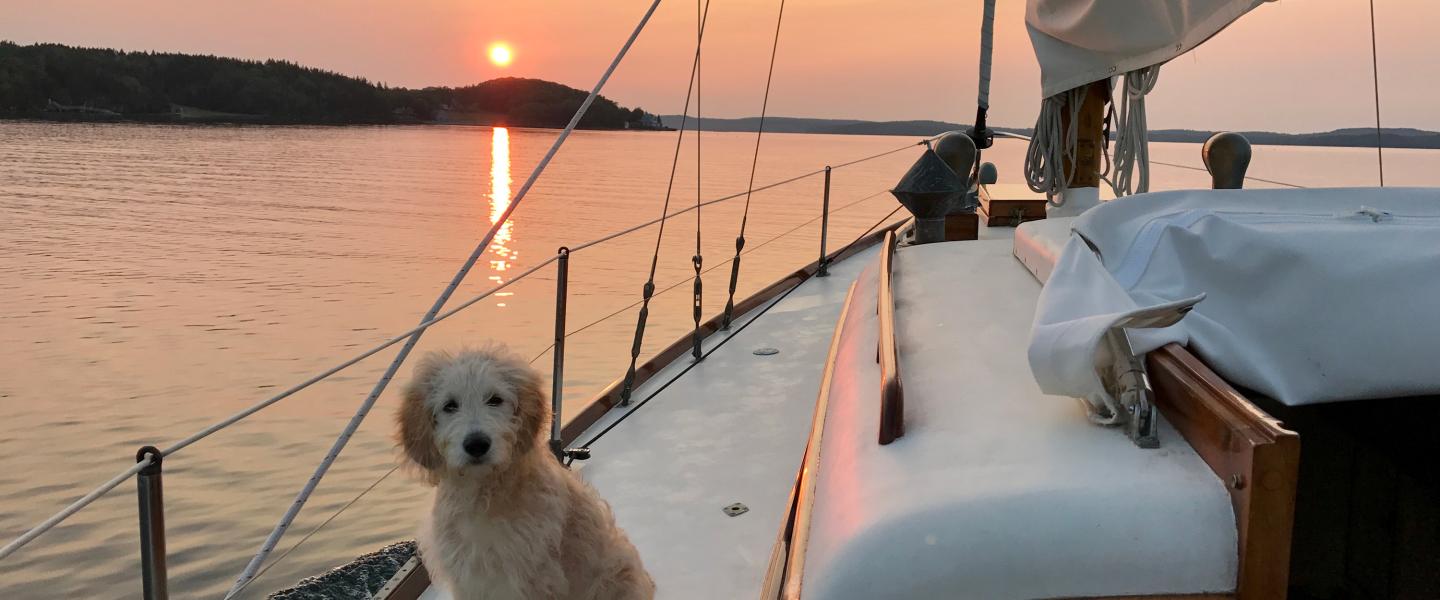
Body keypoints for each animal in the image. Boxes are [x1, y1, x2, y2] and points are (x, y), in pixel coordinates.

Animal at [400, 343, 659, 595]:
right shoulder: (469, 578)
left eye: (495, 399)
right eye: (450, 405)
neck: (483, 493)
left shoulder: (531, 576)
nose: (476, 445)